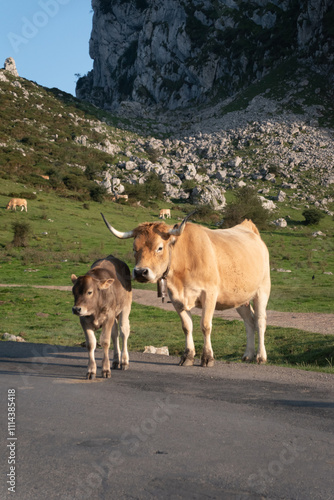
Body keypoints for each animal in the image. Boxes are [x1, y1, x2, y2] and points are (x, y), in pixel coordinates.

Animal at [100, 213, 270, 366]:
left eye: (159, 248)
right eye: (134, 248)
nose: (140, 272)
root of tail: (248, 227)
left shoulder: (210, 294)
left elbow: (205, 325)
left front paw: (207, 357)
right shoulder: (176, 298)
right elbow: (187, 327)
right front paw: (188, 356)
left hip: (262, 290)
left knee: (260, 320)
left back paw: (260, 356)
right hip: (240, 297)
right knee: (249, 321)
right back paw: (248, 354)